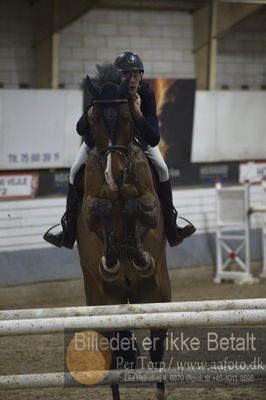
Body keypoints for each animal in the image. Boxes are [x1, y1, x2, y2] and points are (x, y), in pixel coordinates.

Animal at [76, 69, 171, 400]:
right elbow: (103, 208)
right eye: (93, 120)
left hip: (158, 299)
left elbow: (135, 207)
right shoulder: (89, 209)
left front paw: (137, 254)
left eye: (129, 117)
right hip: (104, 307)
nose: (113, 174)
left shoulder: (151, 206)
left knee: (157, 352)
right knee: (115, 360)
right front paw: (112, 258)